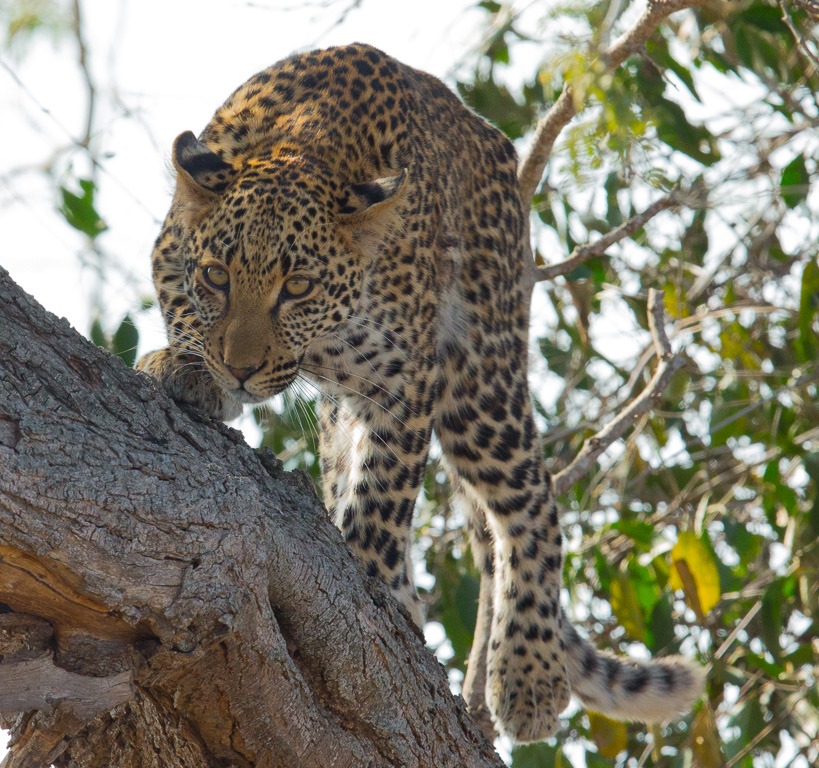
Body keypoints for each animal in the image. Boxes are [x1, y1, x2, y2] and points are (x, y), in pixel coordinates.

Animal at [137, 43, 705, 743]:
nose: (240, 369)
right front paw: (186, 366)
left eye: (297, 288)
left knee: (533, 498)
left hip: (482, 381)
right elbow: (183, 312)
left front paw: (367, 578)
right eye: (217, 276)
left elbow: (384, 497)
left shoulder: (405, 379)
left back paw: (528, 674)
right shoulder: (170, 253)